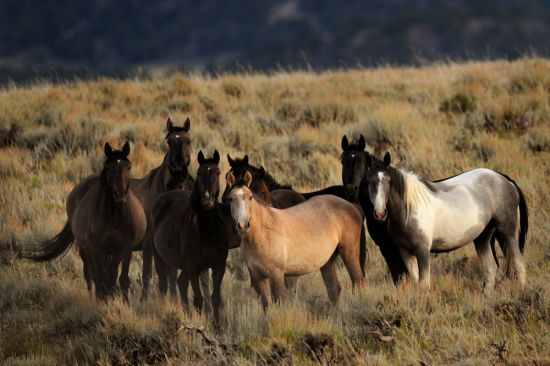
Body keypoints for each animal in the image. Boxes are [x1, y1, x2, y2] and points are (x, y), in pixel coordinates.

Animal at [23, 142, 147, 300]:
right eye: (109, 167)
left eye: (129, 167)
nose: (120, 194)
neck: (113, 216)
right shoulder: (96, 248)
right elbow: (99, 279)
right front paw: (102, 301)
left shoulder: (125, 248)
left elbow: (121, 279)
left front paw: (123, 303)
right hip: (84, 249)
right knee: (89, 275)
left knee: (108, 274)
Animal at [130, 117, 195, 300]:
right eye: (169, 141)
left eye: (189, 141)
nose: (179, 172)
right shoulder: (149, 243)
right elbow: (148, 274)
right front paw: (144, 301)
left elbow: (170, 277)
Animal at [152, 149, 230, 324]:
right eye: (199, 173)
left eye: (218, 172)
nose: (207, 202)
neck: (207, 231)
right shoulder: (194, 267)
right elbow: (198, 299)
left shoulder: (218, 266)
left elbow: (214, 297)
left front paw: (217, 326)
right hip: (161, 259)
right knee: (163, 286)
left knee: (180, 283)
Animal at [229, 172, 366, 308]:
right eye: (230, 198)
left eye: (250, 197)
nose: (243, 225)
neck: (262, 234)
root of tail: (352, 206)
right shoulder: (258, 277)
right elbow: (266, 305)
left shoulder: (276, 274)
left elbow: (280, 302)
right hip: (328, 260)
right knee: (334, 289)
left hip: (349, 252)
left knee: (358, 282)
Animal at [366, 152, 532, 292]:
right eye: (369, 182)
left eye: (388, 181)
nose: (379, 214)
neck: (408, 210)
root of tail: (505, 180)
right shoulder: (405, 252)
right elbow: (415, 283)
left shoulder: (422, 251)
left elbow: (424, 285)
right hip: (483, 237)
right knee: (490, 268)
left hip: (507, 232)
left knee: (519, 264)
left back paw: (522, 292)